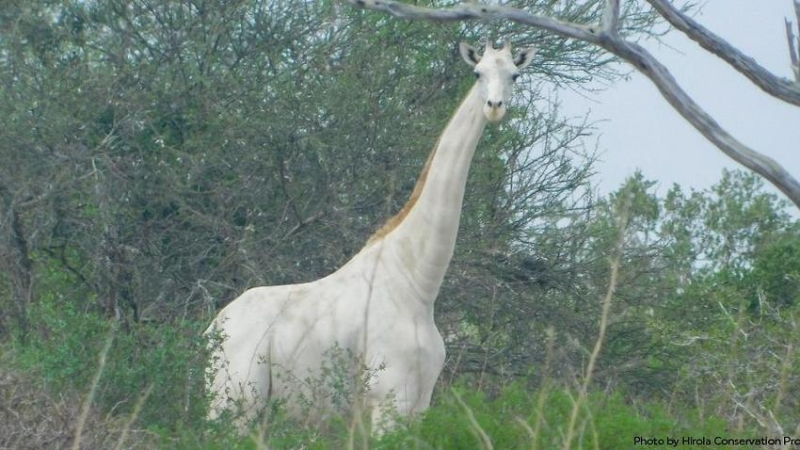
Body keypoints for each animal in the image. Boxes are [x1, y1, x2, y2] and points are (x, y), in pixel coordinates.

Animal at [205, 40, 536, 430]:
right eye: (477, 73)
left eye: (514, 75)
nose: (494, 108)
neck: (418, 283)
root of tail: (210, 332)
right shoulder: (389, 400)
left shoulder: (418, 403)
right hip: (236, 401)